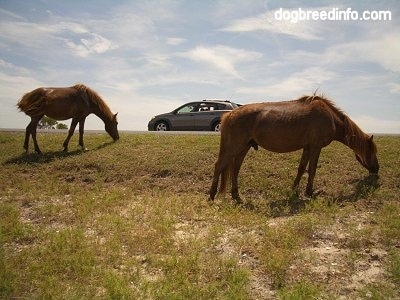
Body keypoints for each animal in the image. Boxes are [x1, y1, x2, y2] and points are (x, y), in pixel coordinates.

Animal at [211, 94, 380, 202]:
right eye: (372, 151)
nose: (376, 169)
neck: (330, 118)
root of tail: (229, 115)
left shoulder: (307, 147)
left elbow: (301, 168)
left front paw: (294, 189)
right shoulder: (316, 147)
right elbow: (312, 169)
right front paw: (310, 192)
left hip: (244, 147)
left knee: (235, 168)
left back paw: (236, 195)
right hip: (234, 147)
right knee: (219, 166)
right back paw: (212, 195)